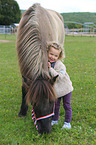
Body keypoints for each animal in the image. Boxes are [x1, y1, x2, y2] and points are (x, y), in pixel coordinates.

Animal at [16, 3, 64, 134]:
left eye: (52, 101)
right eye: (34, 102)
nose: (45, 131)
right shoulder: (24, 69)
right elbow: (24, 89)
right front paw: (22, 111)